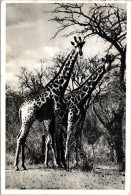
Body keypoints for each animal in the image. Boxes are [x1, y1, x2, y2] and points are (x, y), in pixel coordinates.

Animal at [14, 36, 85, 171]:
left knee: (20, 137)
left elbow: (54, 139)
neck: (60, 88)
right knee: (21, 138)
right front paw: (61, 163)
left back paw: (23, 165)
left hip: (24, 120)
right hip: (28, 119)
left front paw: (59, 163)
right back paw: (16, 166)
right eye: (76, 46)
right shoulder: (58, 114)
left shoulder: (52, 116)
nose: (80, 53)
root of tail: (21, 107)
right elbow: (56, 138)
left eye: (82, 45)